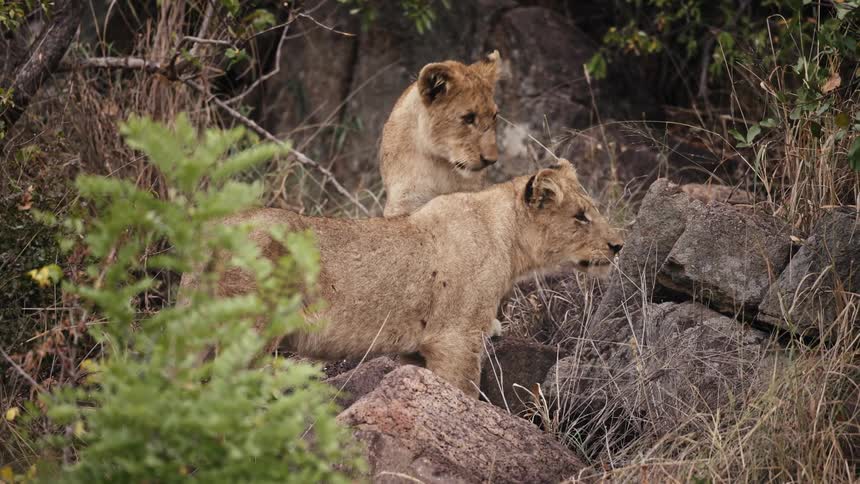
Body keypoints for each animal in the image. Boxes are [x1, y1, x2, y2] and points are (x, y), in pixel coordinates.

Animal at [181, 160, 623, 397]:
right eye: (581, 216)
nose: (619, 244)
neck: (507, 238)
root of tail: (213, 231)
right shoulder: (456, 339)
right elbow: (464, 395)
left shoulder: (418, 348)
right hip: (250, 333)